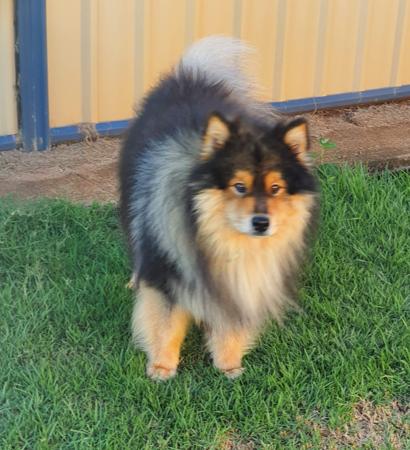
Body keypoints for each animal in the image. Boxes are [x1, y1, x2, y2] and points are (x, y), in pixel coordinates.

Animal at [119, 36, 318, 380]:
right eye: (239, 186)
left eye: (275, 188)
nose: (261, 222)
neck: (220, 240)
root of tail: (190, 73)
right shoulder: (167, 275)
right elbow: (164, 325)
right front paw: (161, 367)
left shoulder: (240, 284)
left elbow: (230, 326)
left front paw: (229, 364)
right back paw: (135, 277)